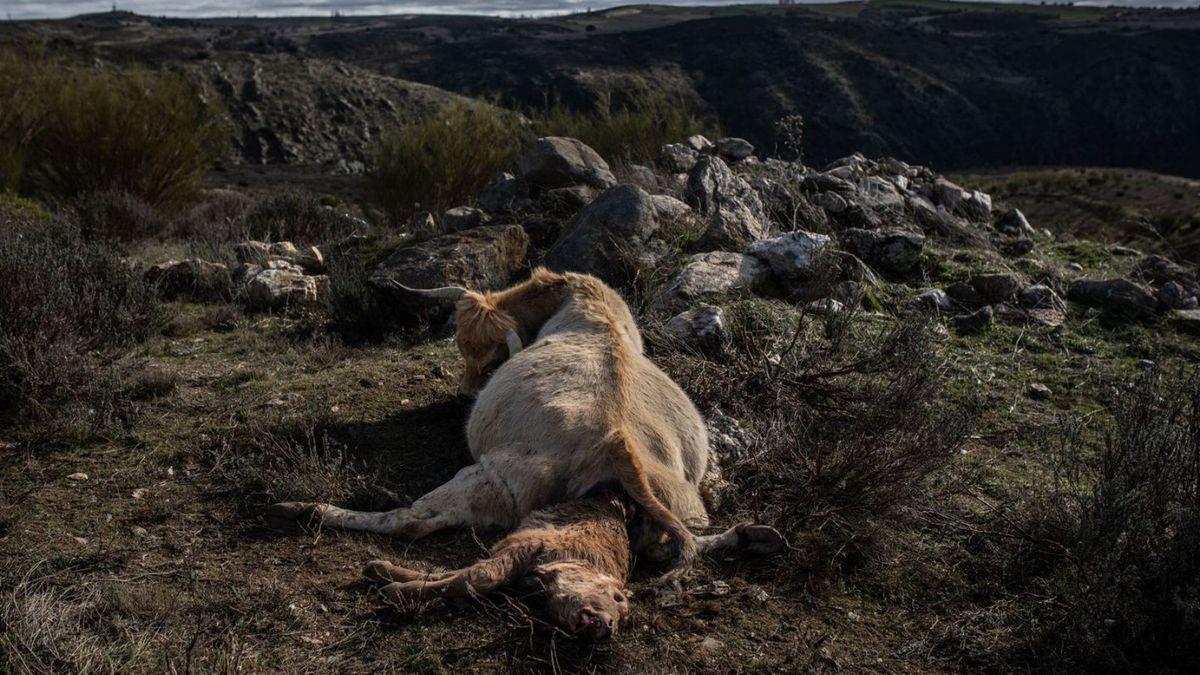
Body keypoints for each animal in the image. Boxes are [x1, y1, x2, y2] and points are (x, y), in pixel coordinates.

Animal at [267, 265, 744, 569]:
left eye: (483, 355)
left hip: (488, 477)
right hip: (686, 511)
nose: (465, 392)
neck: (586, 307)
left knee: (410, 521)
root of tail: (617, 447)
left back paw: (305, 507)